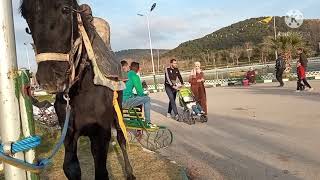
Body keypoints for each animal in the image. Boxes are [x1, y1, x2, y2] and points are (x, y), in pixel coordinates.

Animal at [19, 0, 135, 179]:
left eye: (65, 9)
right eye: (26, 16)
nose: (49, 78)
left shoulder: (101, 133)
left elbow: (101, 171)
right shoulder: (68, 133)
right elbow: (71, 167)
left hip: (118, 109)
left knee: (122, 138)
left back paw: (129, 173)